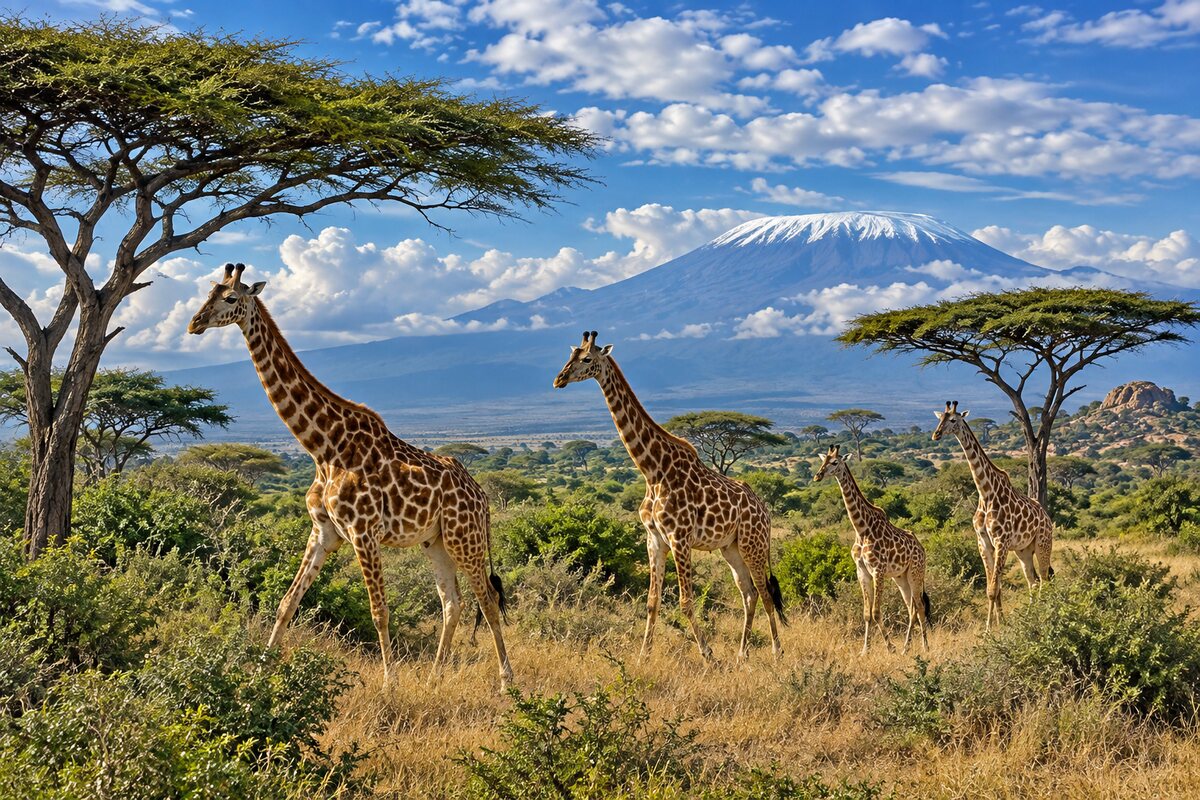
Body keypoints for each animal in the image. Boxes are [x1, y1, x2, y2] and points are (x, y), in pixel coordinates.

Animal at [187, 264, 513, 688]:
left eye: (229, 298)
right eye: (207, 292)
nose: (194, 323)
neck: (323, 448)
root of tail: (482, 495)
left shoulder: (363, 532)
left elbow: (379, 612)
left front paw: (390, 684)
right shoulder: (324, 531)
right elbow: (287, 602)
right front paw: (260, 672)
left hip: (465, 538)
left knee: (486, 600)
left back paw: (507, 681)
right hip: (435, 541)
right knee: (452, 602)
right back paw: (433, 679)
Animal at [553, 331, 785, 661]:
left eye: (587, 359)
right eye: (570, 355)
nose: (559, 379)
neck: (653, 470)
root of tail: (764, 511)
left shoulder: (680, 538)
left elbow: (686, 602)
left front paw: (709, 656)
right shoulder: (655, 539)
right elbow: (652, 602)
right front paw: (642, 656)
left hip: (753, 544)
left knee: (765, 593)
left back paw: (776, 651)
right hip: (730, 548)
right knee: (749, 593)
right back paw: (742, 654)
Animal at [813, 445, 929, 654]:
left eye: (834, 462)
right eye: (822, 461)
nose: (817, 476)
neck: (861, 529)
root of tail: (922, 548)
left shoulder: (878, 570)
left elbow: (876, 612)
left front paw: (890, 647)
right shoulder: (862, 572)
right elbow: (867, 613)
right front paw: (865, 650)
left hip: (916, 573)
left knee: (920, 606)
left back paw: (924, 647)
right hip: (901, 577)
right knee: (911, 608)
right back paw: (906, 648)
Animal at [932, 400, 1053, 630]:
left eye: (952, 420)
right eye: (939, 419)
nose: (936, 434)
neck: (986, 493)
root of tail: (1047, 517)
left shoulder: (1001, 541)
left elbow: (993, 588)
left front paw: (990, 628)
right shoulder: (984, 542)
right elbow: (993, 588)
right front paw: (998, 623)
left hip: (1043, 543)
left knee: (1044, 578)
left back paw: (1042, 616)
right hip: (1024, 550)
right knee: (1033, 582)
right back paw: (1030, 616)